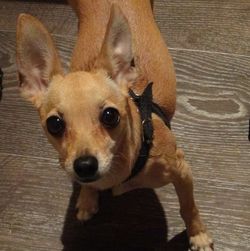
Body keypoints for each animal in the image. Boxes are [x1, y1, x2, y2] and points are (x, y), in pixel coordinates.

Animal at [16, 0, 213, 250]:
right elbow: (88, 185)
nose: (85, 165)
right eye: (54, 124)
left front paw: (198, 235)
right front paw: (87, 198)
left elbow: (189, 207)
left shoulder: (182, 171)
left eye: (110, 116)